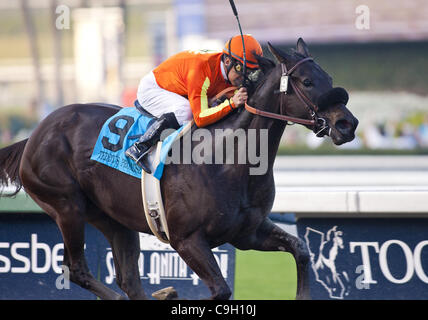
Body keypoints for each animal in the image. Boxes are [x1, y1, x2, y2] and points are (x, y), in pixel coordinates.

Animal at [0, 40, 358, 300]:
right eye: (308, 82)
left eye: (328, 79)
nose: (348, 124)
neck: (228, 159)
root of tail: (34, 135)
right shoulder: (187, 240)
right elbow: (221, 290)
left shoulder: (248, 232)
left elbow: (301, 251)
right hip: (66, 206)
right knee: (78, 270)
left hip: (114, 219)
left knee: (129, 280)